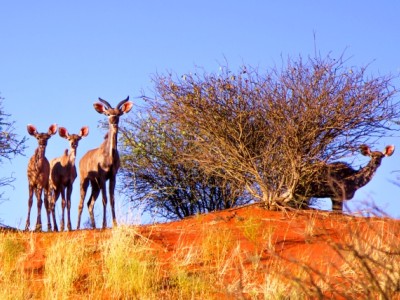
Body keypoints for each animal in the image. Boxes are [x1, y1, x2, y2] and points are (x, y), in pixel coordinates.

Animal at [77, 97, 134, 229]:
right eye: (108, 114)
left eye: (118, 114)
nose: (113, 121)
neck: (110, 156)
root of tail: (81, 159)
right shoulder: (102, 177)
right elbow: (105, 199)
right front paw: (104, 225)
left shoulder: (112, 176)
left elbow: (112, 199)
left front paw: (115, 224)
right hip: (84, 181)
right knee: (81, 203)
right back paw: (76, 227)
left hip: (95, 185)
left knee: (89, 203)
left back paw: (94, 227)